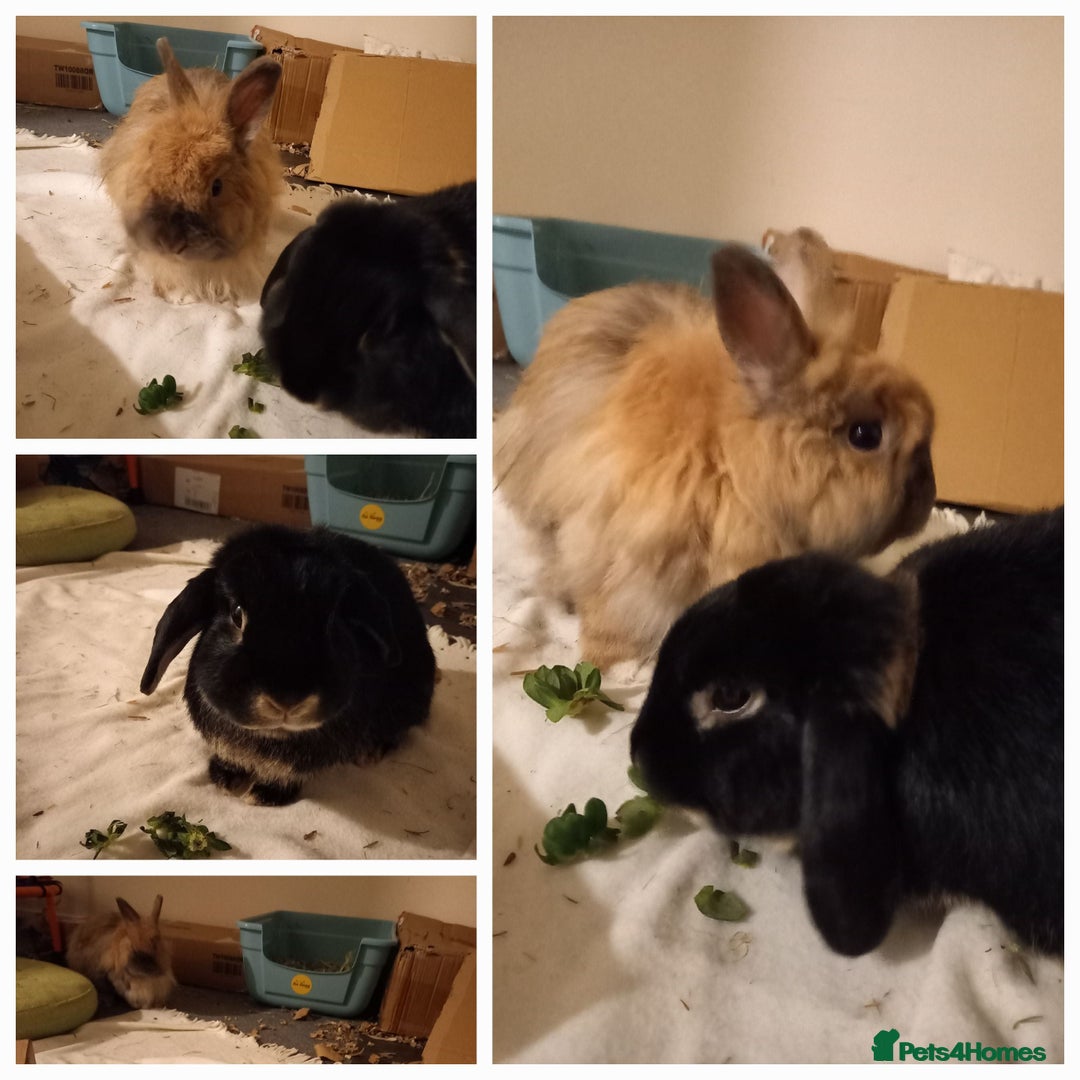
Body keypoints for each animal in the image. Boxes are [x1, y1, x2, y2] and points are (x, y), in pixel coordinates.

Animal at [140, 524, 437, 806]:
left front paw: (263, 795)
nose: (286, 701)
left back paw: (370, 753)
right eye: (237, 615)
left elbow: (286, 774)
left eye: (332, 621)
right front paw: (223, 778)